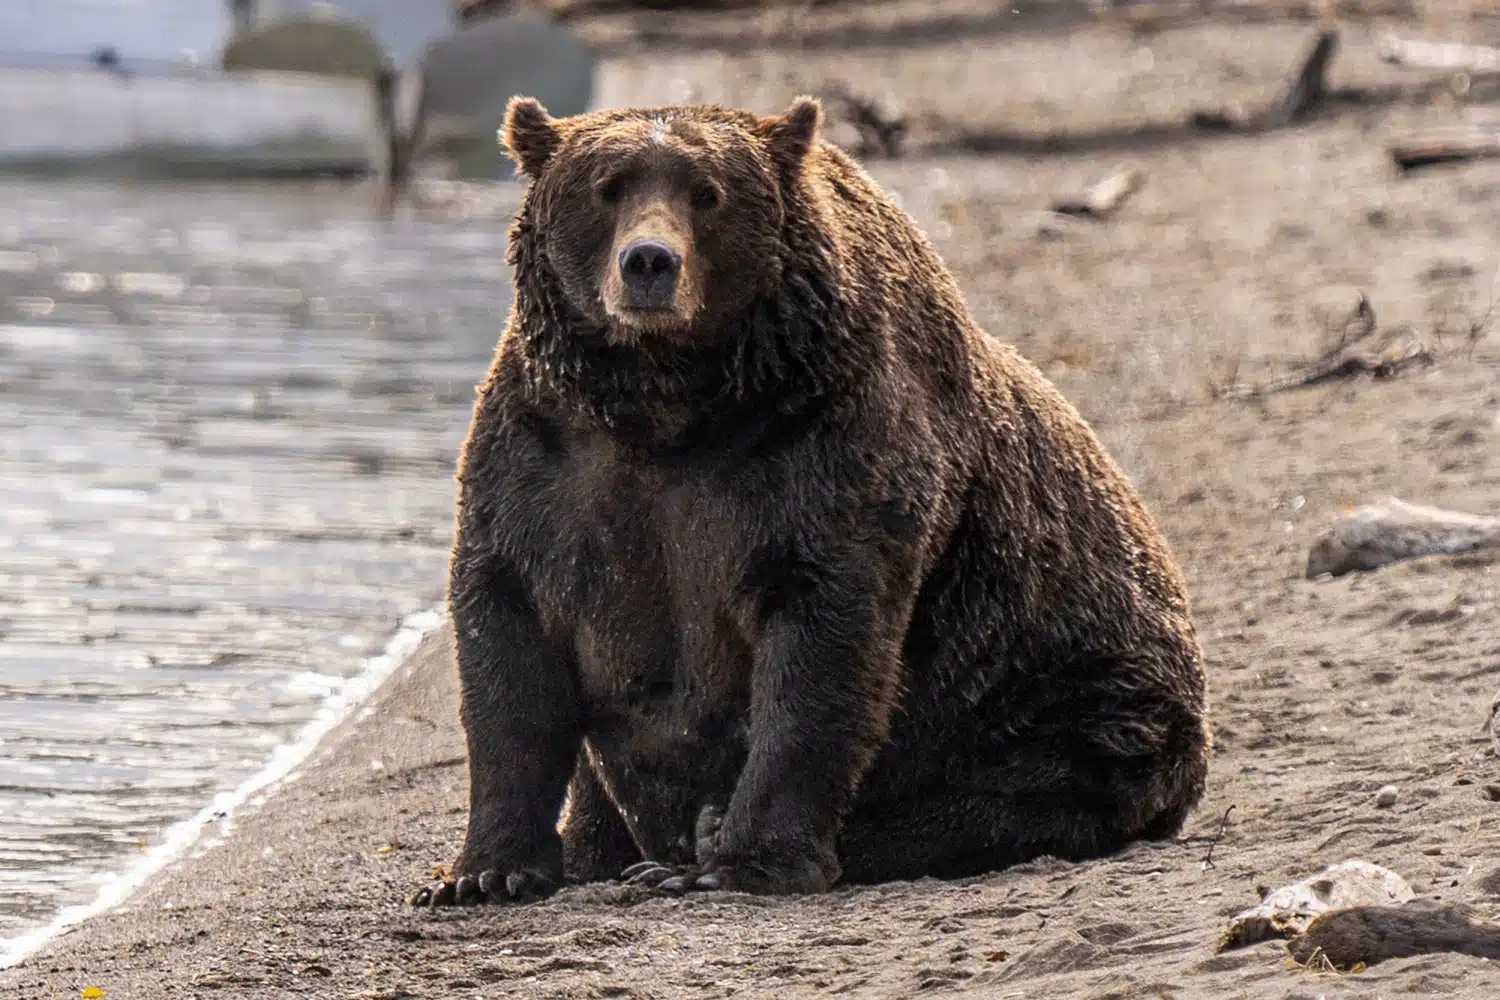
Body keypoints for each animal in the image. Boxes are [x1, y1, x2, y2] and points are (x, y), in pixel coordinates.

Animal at [410, 94, 1210, 907]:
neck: (668, 402)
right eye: (607, 187)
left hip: (1070, 688)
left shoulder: (821, 448)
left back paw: (707, 846)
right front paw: (483, 872)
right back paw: (607, 850)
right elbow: (508, 647)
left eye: (707, 193)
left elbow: (820, 651)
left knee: (1017, 784)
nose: (649, 263)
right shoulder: (546, 459)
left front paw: (744, 860)